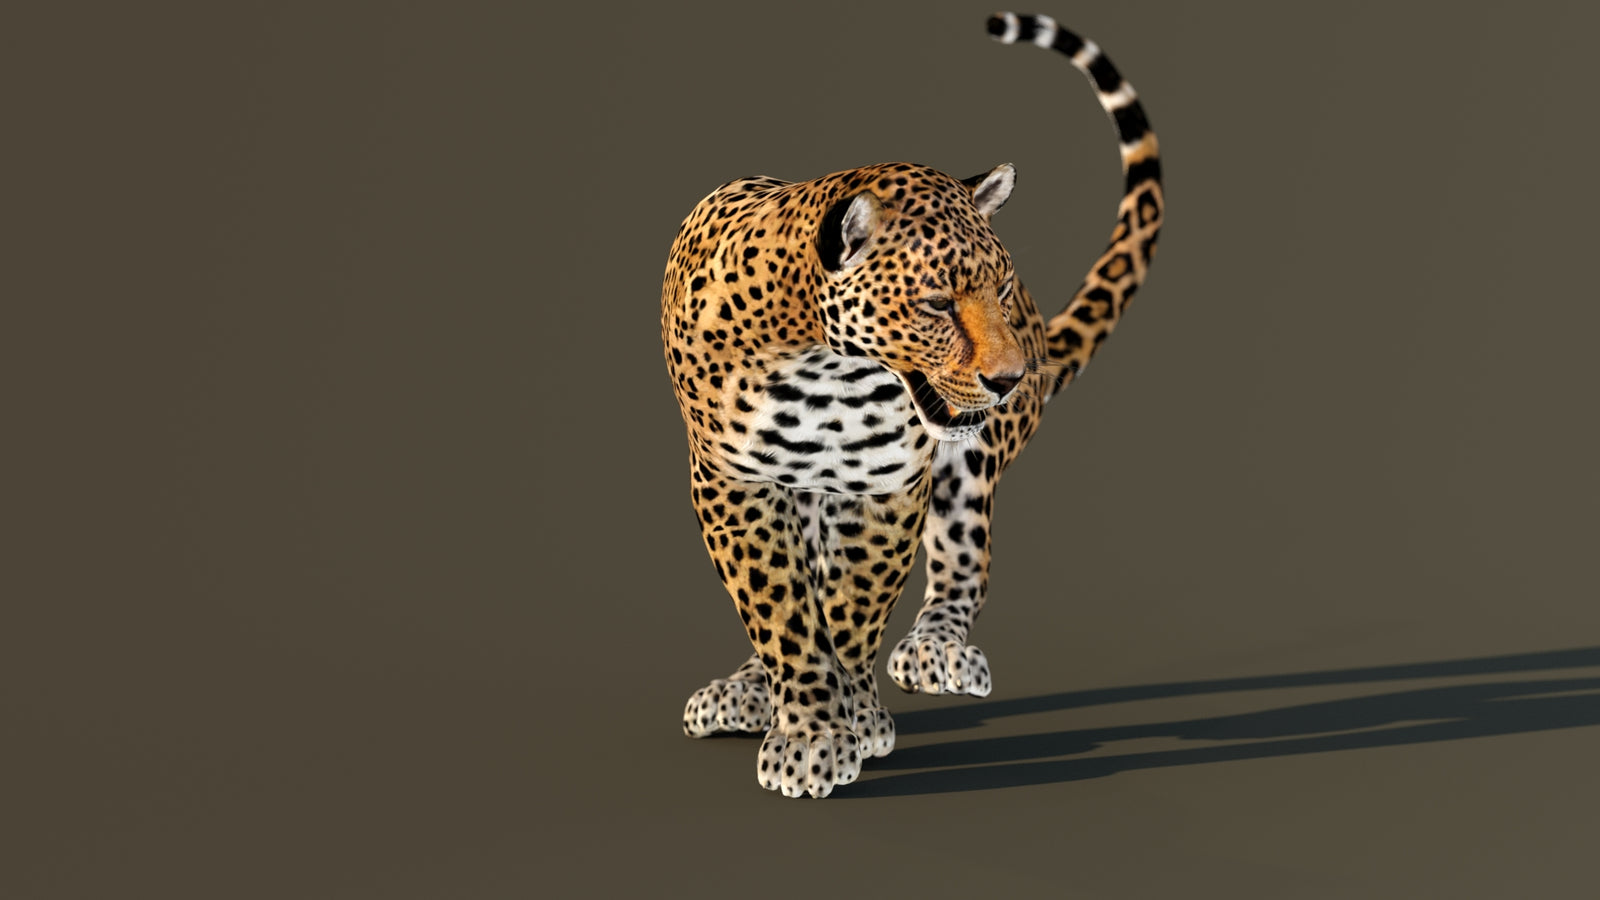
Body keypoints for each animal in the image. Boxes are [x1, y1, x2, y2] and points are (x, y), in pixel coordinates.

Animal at [660, 12, 1164, 798]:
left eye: (1001, 289)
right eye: (935, 304)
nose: (1013, 378)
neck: (823, 364)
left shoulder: (887, 483)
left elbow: (853, 608)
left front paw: (852, 720)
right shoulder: (731, 480)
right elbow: (781, 607)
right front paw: (810, 729)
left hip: (967, 475)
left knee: (962, 563)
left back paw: (937, 650)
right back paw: (744, 689)